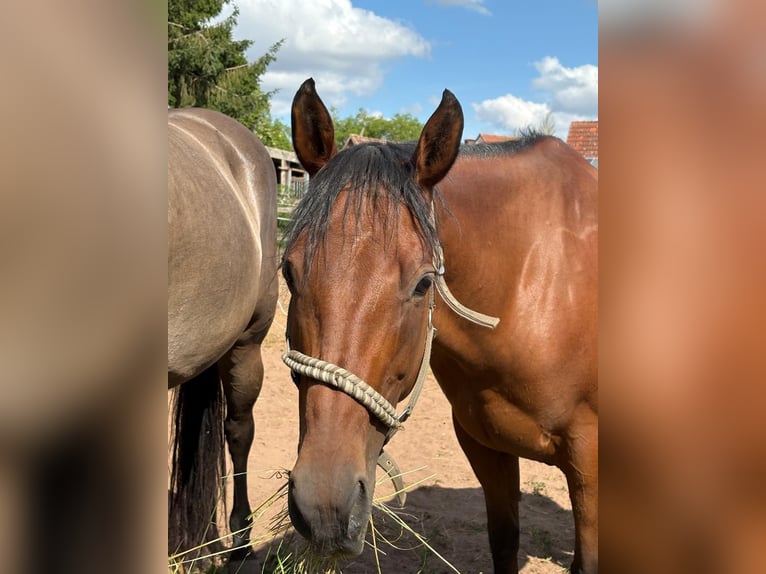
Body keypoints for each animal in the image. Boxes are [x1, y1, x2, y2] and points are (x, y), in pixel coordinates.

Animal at [280, 79, 598, 573]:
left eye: (423, 282)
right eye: (289, 272)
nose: (325, 507)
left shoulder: (591, 464)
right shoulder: (486, 447)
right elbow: (504, 542)